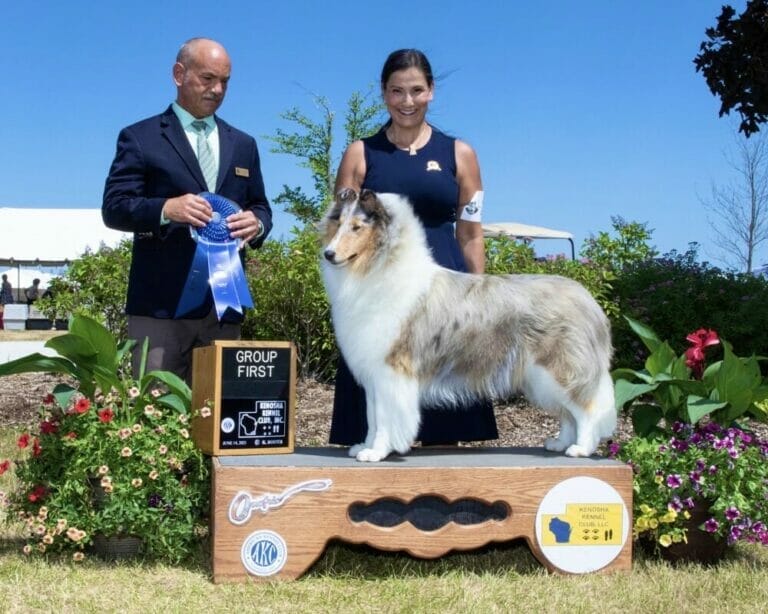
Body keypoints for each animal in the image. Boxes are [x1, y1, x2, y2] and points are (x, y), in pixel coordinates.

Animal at [320, 190, 616, 464]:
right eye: (338, 224)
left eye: (357, 227)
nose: (328, 254)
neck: (377, 269)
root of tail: (587, 299)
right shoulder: (374, 377)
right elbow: (371, 418)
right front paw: (364, 446)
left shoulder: (391, 372)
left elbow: (384, 418)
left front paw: (376, 453)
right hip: (541, 377)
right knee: (568, 414)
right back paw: (560, 443)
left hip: (559, 370)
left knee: (586, 409)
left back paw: (580, 448)